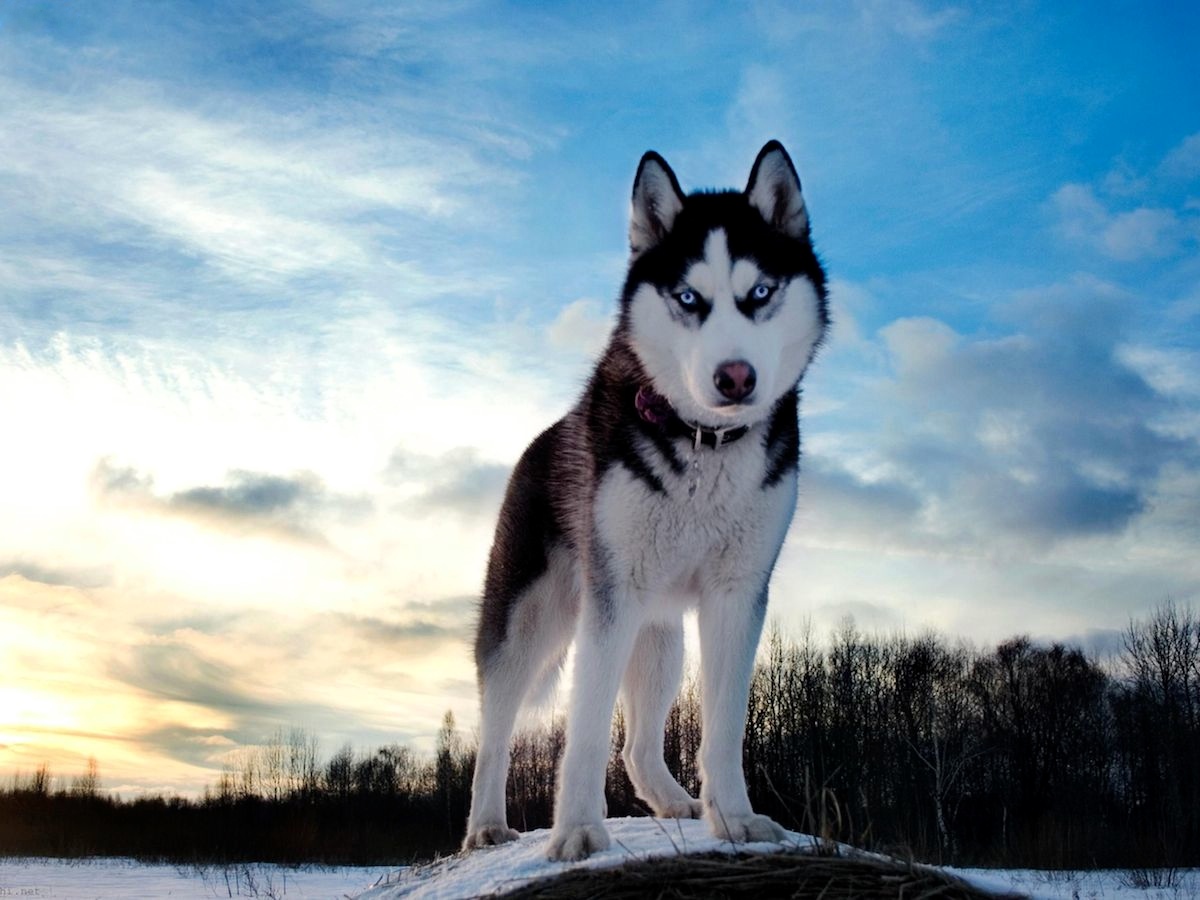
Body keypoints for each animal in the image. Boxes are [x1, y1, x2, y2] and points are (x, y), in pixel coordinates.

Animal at [463, 139, 830, 859]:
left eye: (761, 293)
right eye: (688, 297)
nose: (735, 377)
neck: (704, 443)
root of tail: (540, 440)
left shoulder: (737, 595)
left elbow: (723, 726)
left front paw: (735, 819)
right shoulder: (611, 599)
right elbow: (582, 732)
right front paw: (578, 829)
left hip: (660, 638)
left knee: (636, 745)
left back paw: (672, 801)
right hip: (530, 622)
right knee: (495, 733)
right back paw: (486, 824)